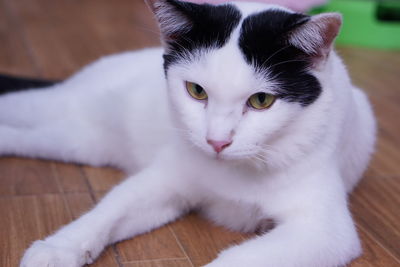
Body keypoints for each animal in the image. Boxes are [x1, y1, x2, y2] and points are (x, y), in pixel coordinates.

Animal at [0, 0, 376, 267]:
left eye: (261, 101)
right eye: (196, 91)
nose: (217, 142)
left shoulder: (322, 231)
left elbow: (240, 259)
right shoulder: (165, 179)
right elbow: (111, 207)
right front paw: (59, 247)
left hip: (77, 141)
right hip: (60, 107)